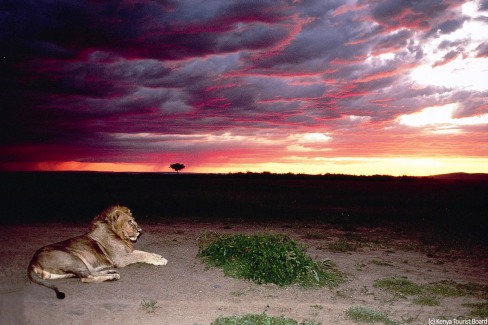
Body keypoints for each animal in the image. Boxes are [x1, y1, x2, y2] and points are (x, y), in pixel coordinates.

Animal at [27, 205, 168, 298]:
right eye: (130, 221)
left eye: (133, 220)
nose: (140, 230)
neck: (116, 233)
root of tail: (32, 262)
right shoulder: (120, 259)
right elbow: (141, 256)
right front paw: (160, 260)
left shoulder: (127, 251)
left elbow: (144, 252)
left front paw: (158, 256)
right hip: (74, 258)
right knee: (86, 278)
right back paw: (112, 277)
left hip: (76, 265)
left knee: (91, 272)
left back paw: (110, 272)